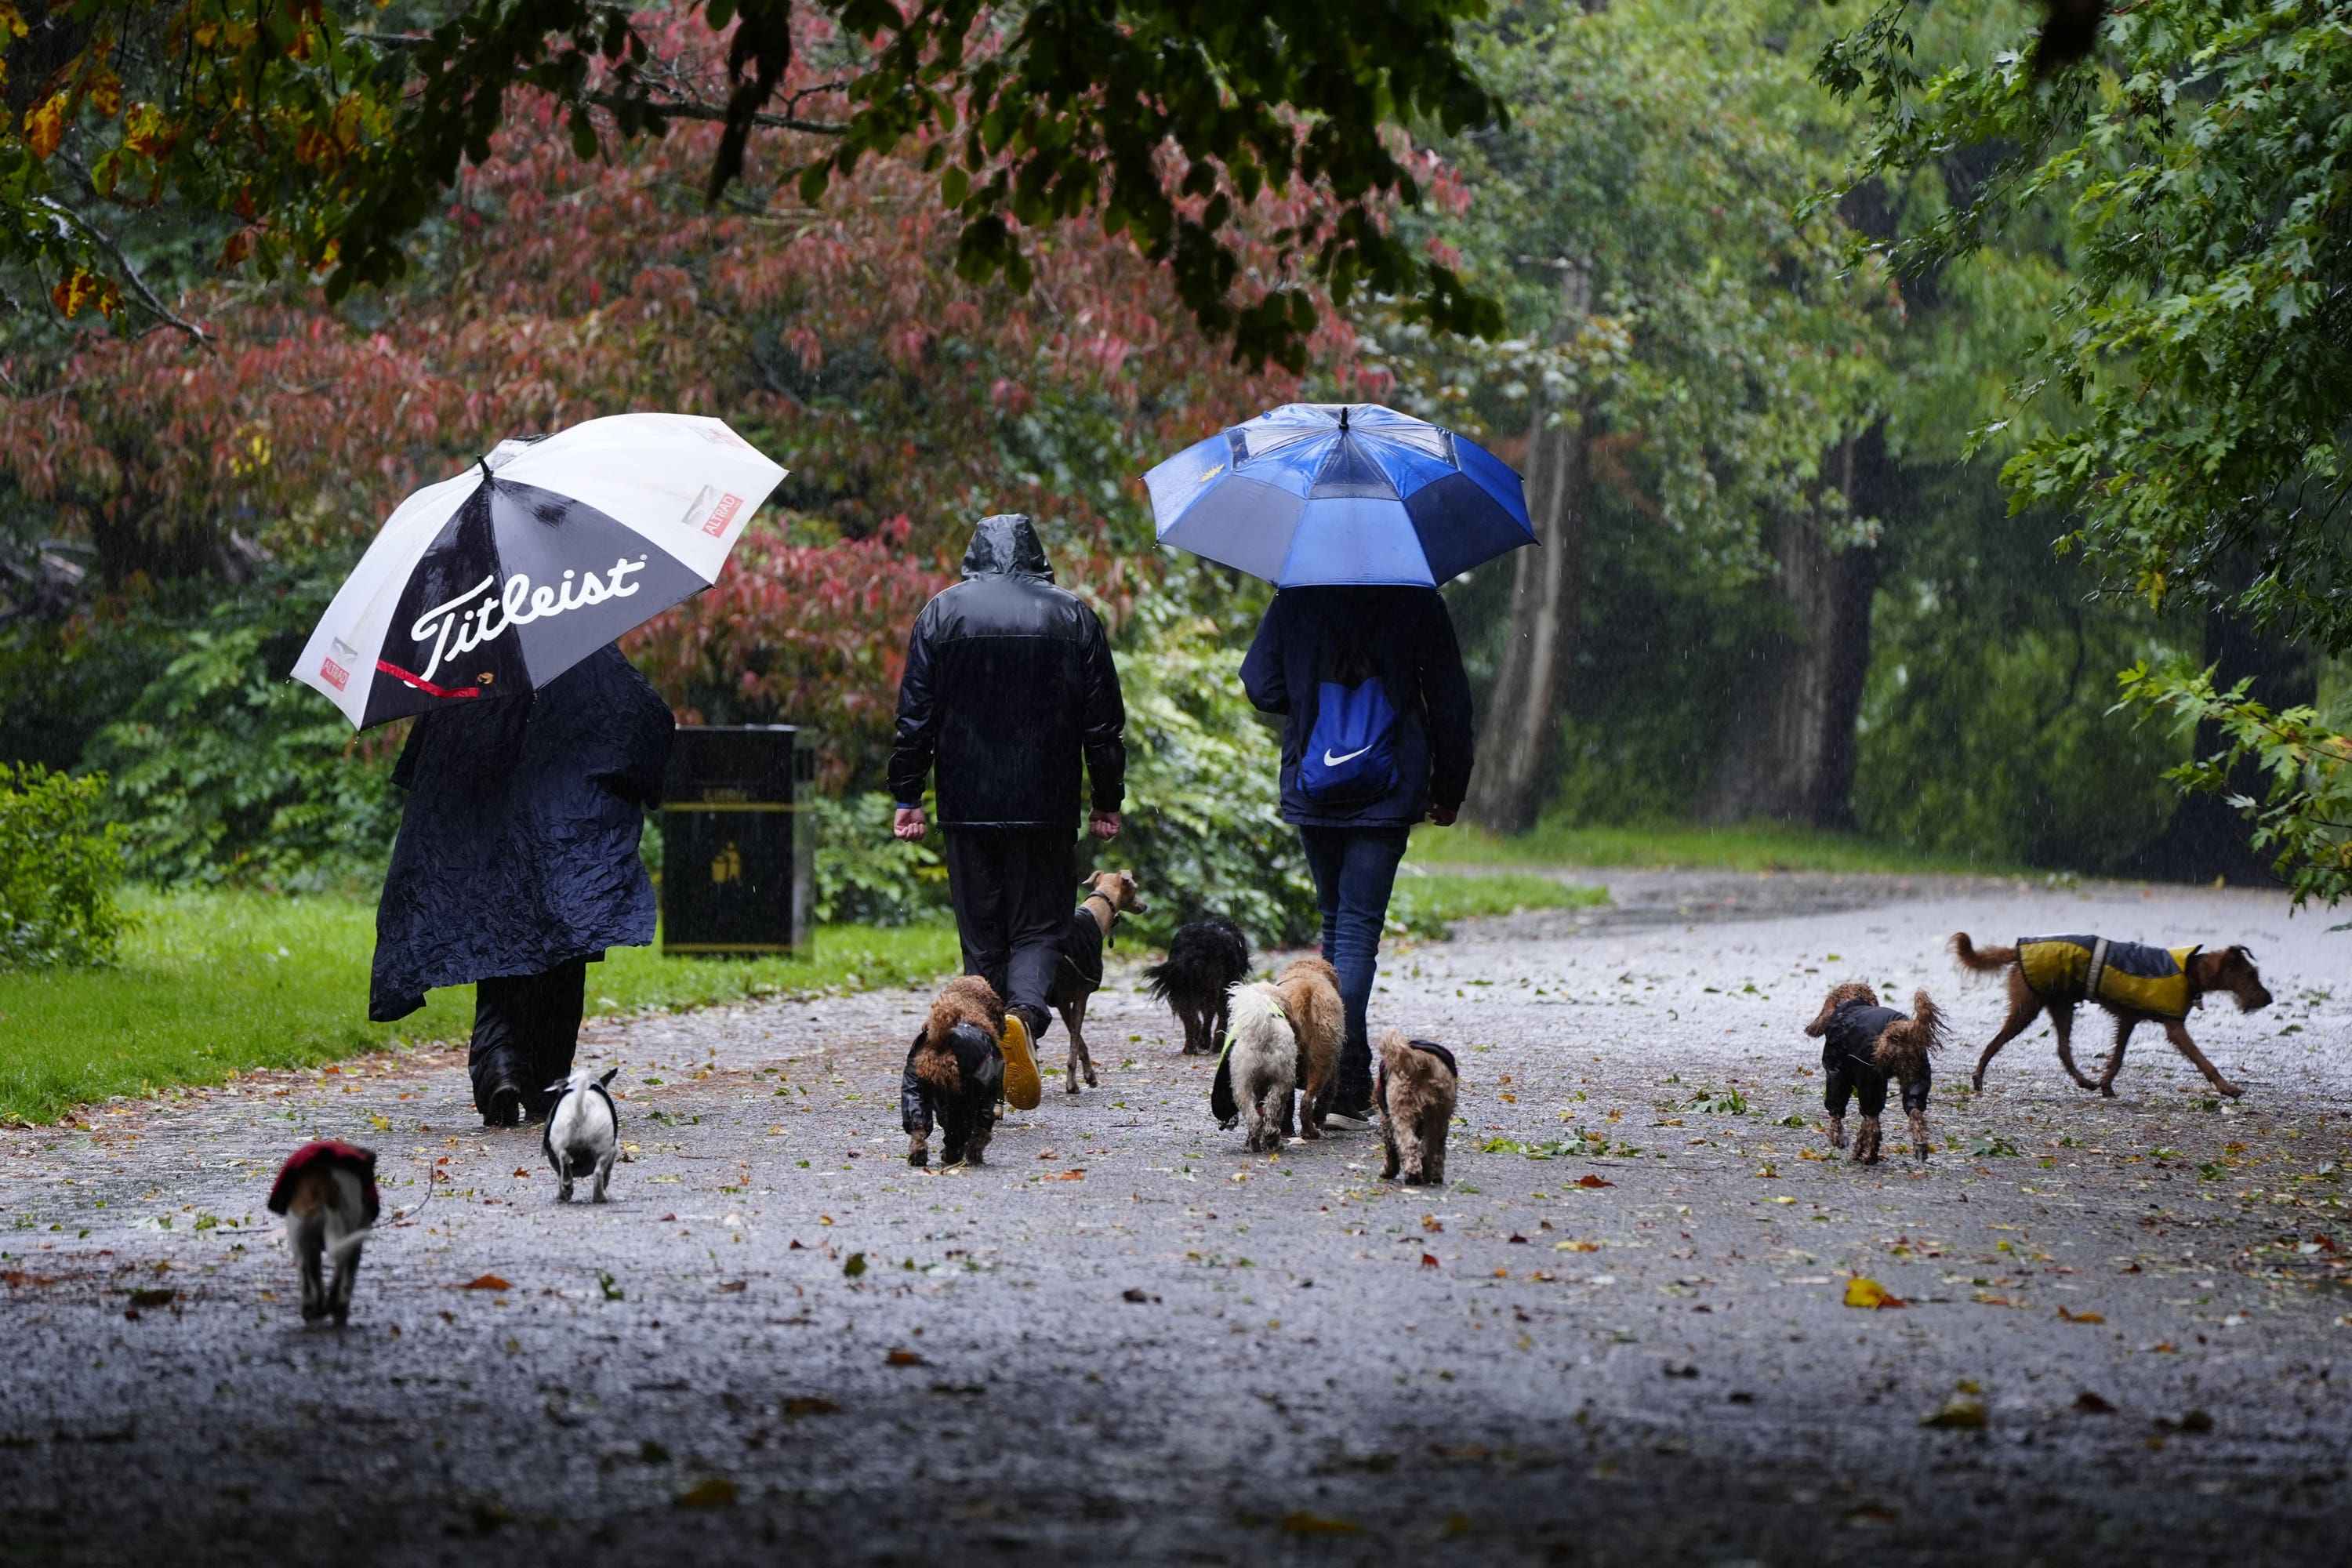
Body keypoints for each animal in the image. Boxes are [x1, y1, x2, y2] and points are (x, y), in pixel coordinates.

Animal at [543, 1067, 621, 1203]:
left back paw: (569, 1185)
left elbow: (559, 1175)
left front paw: (562, 1194)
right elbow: (607, 1173)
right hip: (605, 1149)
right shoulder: (614, 1149)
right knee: (598, 1173)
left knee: (564, 1158)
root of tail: (581, 1110)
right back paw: (599, 1196)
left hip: (559, 1142)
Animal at [1138, 912, 1251, 1062]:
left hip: (1183, 989)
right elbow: (1210, 1016)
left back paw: (1190, 1048)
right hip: (1221, 987)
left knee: (1191, 1019)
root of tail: (1197, 946)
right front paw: (1205, 1041)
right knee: (1221, 1016)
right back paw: (1216, 1046)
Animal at [1223, 987, 1298, 1161]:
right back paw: (1269, 1139)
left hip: (1243, 1084)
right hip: (1280, 1081)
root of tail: (1264, 1033)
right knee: (1270, 1110)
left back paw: (1257, 1144)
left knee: (1256, 1118)